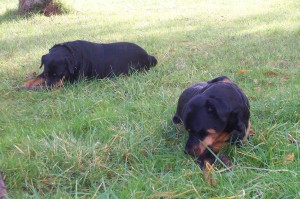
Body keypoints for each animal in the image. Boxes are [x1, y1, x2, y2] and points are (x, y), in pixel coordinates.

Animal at [17, 40, 157, 90]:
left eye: (59, 74)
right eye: (47, 73)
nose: (49, 87)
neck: (72, 54)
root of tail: (148, 55)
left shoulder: (75, 82)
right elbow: (36, 78)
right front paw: (24, 84)